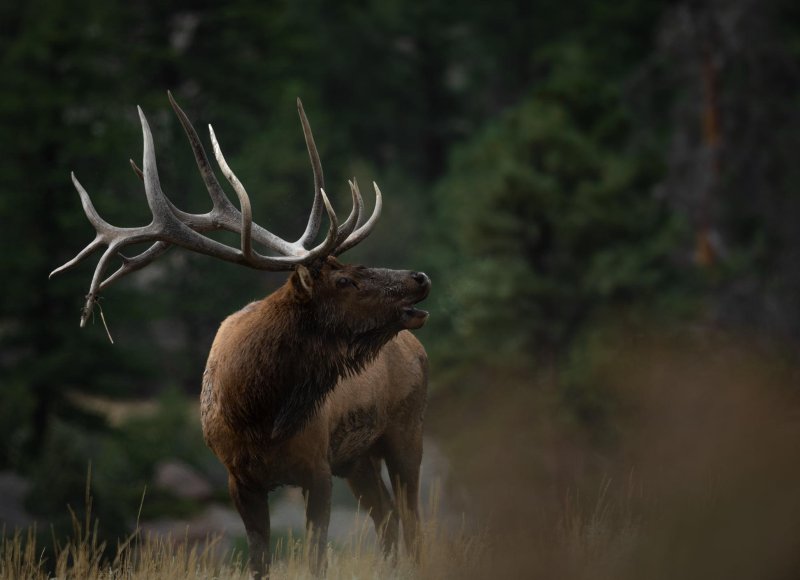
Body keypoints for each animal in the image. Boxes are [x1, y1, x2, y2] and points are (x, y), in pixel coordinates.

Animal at [51, 93, 432, 576]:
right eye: (344, 279)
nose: (420, 278)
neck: (258, 415)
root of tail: (418, 349)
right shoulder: (241, 479)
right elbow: (259, 560)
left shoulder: (317, 469)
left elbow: (316, 558)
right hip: (358, 457)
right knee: (388, 518)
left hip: (406, 430)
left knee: (411, 521)